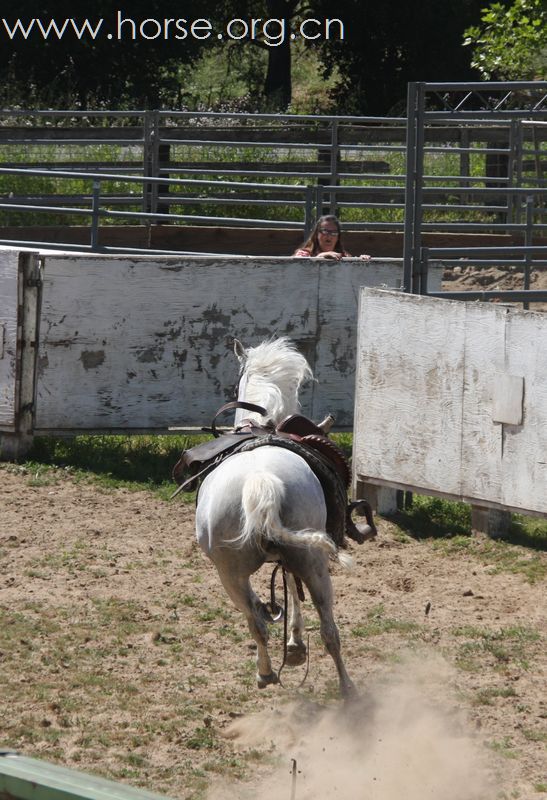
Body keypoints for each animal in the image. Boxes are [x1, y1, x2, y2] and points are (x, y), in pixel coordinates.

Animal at [195, 334, 358, 696]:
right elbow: (293, 591)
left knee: (257, 621)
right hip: (312, 561)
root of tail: (260, 482)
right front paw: (296, 643)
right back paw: (345, 687)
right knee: (328, 629)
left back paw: (267, 672)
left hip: (231, 575)